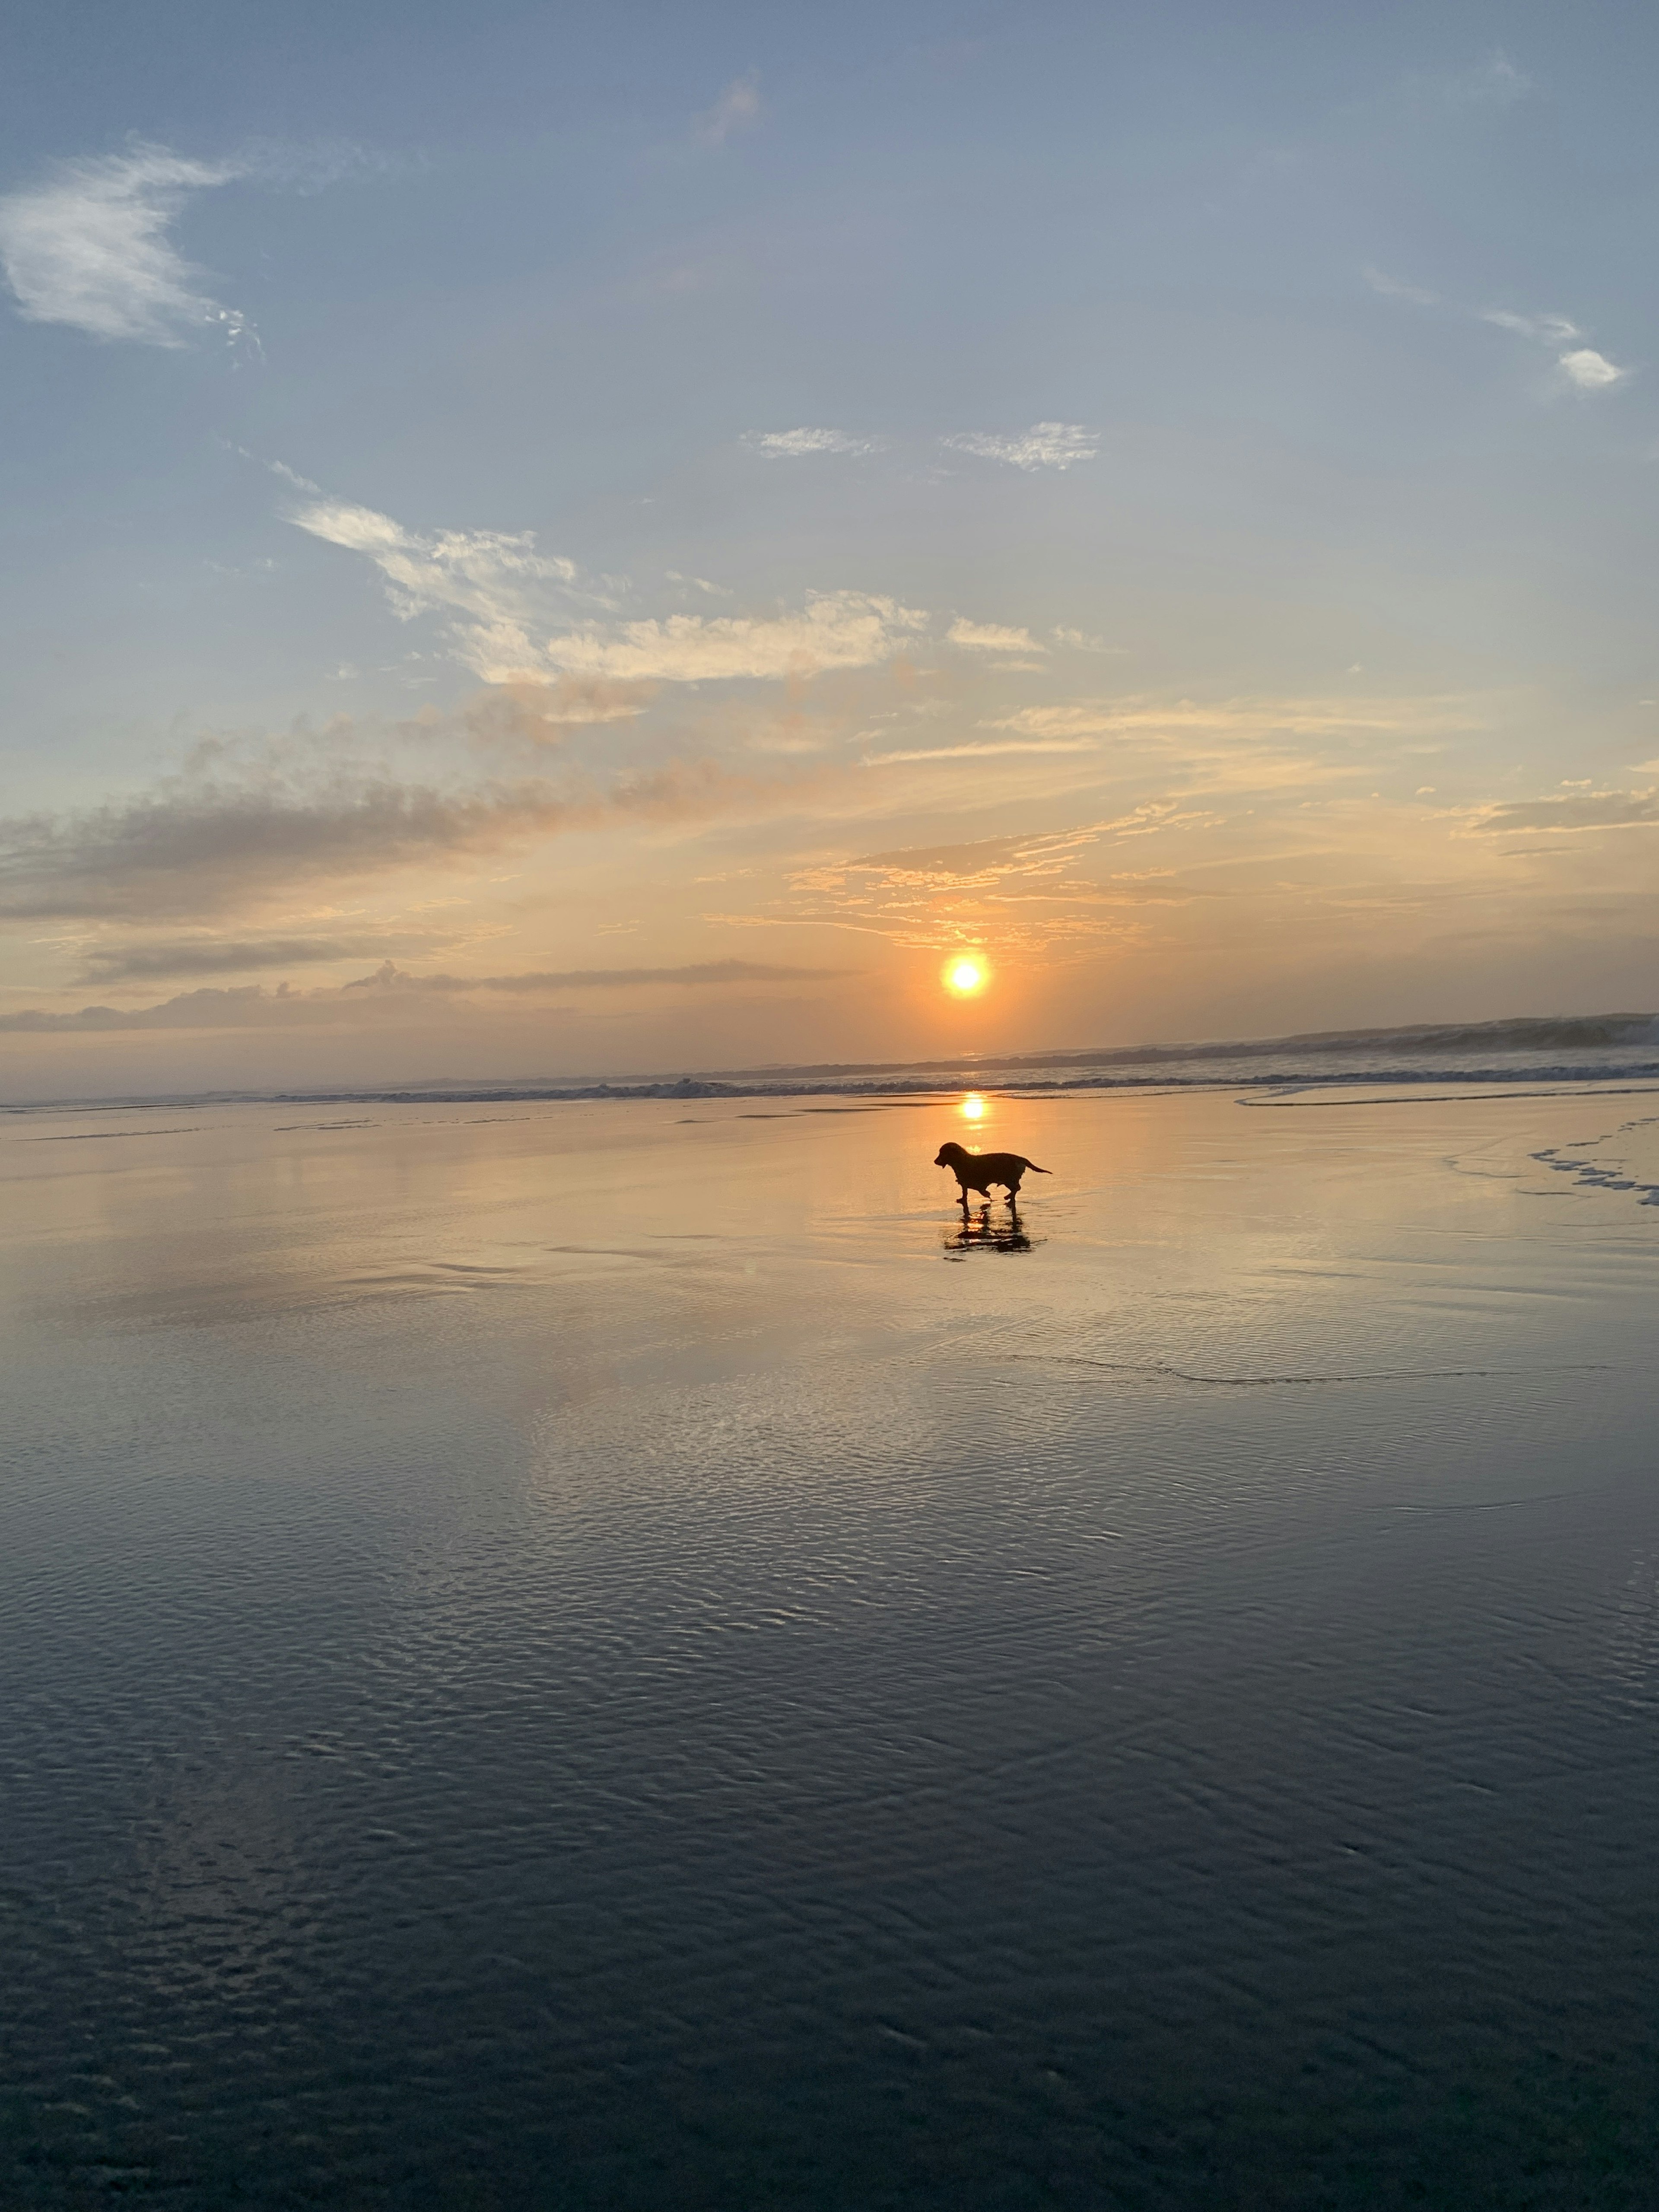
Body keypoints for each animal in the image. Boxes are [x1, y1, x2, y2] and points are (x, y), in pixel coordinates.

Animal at [938, 1150, 1053, 1203]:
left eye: (942, 1153)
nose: (935, 1161)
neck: (961, 1161)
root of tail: (1020, 1159)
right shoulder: (967, 1184)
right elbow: (968, 1192)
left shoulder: (969, 1183)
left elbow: (968, 1192)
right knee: (1016, 1189)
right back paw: (1009, 1197)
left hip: (1009, 1179)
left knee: (1017, 1188)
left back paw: (1008, 1197)